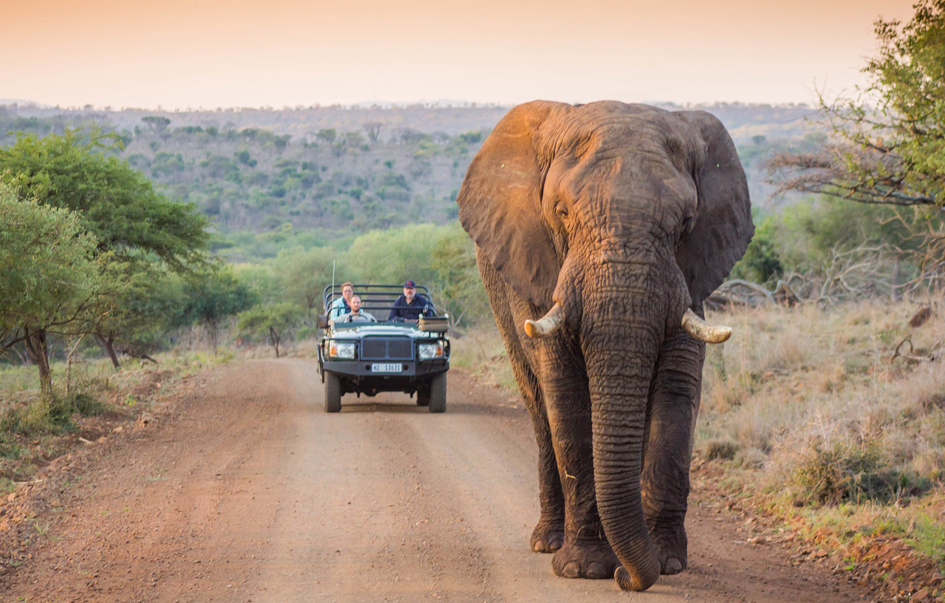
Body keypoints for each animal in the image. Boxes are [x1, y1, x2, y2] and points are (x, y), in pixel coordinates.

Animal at [456, 101, 752, 592]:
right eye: (561, 213)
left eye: (686, 223)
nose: (626, 579)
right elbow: (568, 399)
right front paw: (586, 569)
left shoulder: (689, 280)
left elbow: (676, 394)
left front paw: (666, 563)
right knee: (539, 409)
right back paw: (548, 542)